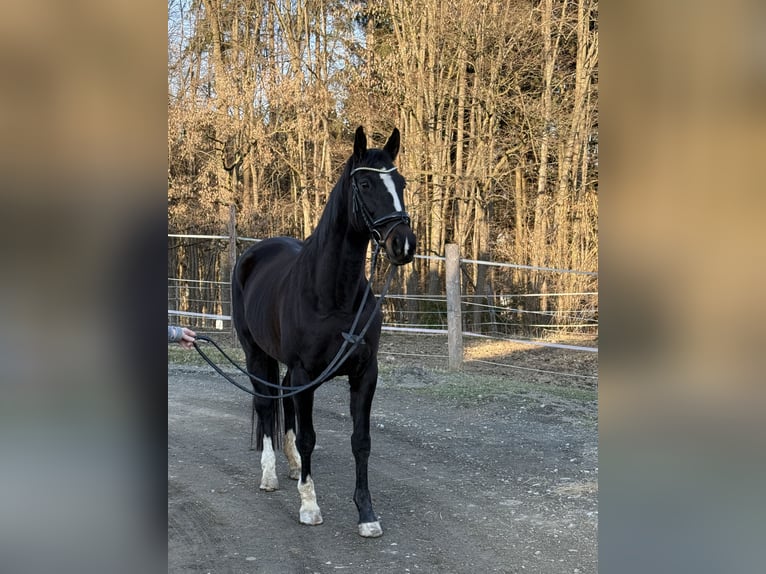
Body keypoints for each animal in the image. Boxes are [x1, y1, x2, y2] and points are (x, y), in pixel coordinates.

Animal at [230, 126, 416, 538]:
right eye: (365, 183)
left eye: (401, 183)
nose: (404, 244)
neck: (334, 295)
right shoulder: (306, 373)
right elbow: (309, 436)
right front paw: (310, 506)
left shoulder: (365, 373)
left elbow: (360, 441)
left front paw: (367, 514)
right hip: (256, 354)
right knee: (266, 404)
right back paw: (270, 475)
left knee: (282, 399)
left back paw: (293, 466)